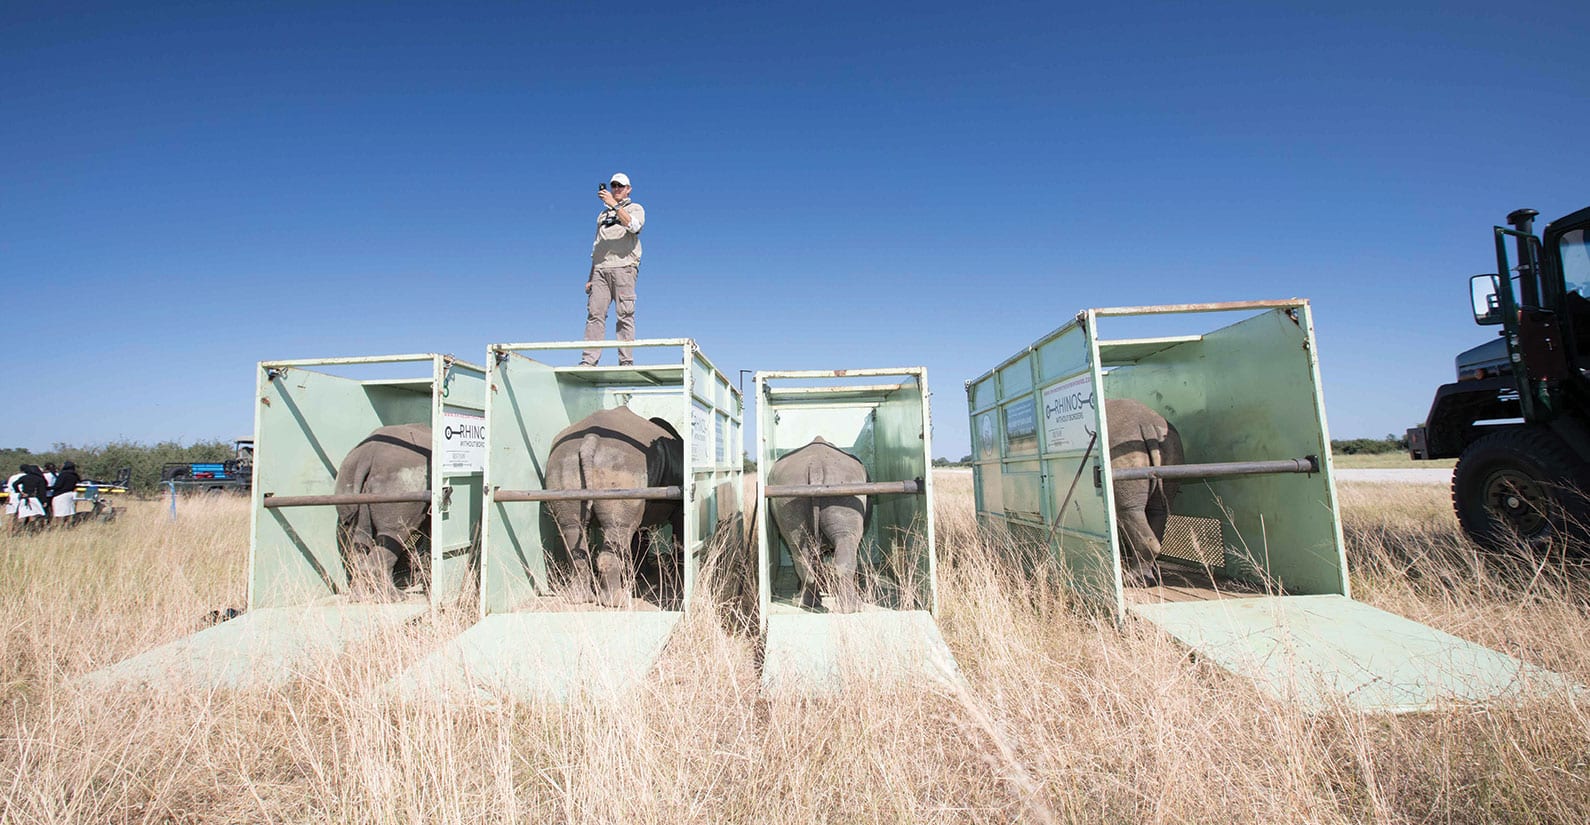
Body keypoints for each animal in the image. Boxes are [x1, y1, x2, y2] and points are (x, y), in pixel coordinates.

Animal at [335, 423, 432, 600]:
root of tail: (367, 454)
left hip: (349, 475)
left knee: (359, 536)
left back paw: (360, 597)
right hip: (403, 479)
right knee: (396, 533)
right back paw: (397, 597)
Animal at [544, 406, 685, 608]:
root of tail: (590, 439)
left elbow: (639, 537)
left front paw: (639, 574)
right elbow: (677, 533)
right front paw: (675, 571)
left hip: (564, 460)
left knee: (572, 527)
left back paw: (580, 599)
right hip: (623, 463)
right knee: (619, 528)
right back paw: (618, 601)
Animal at [767, 437, 868, 613]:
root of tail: (816, 465)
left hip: (792, 491)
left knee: (798, 546)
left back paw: (806, 603)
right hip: (841, 487)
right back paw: (851, 607)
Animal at [1106, 398, 1185, 587]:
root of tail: (1148, 426)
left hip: (1122, 449)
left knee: (1129, 510)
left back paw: (1133, 580)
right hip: (1172, 445)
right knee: (1157, 509)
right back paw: (1151, 576)